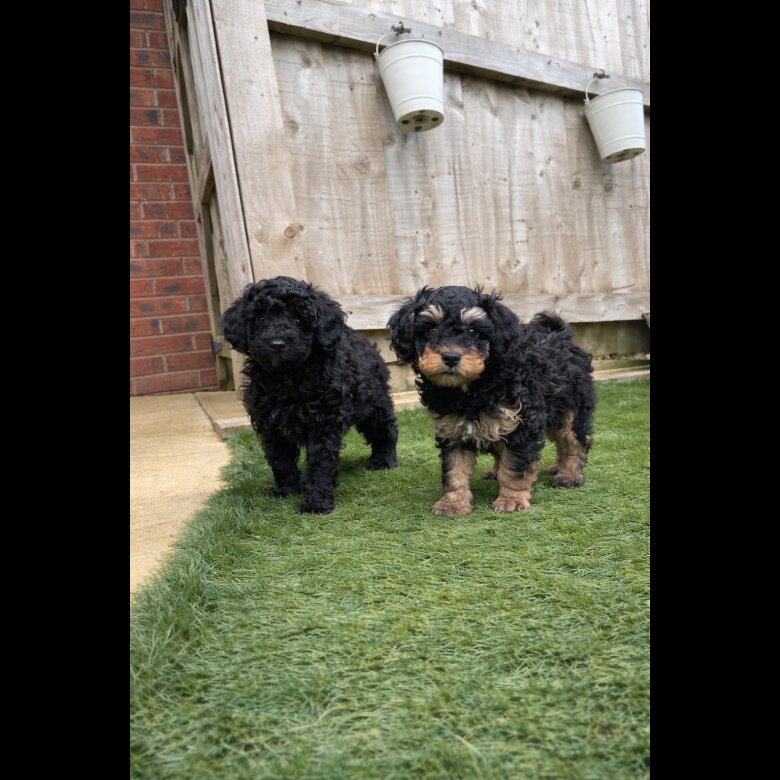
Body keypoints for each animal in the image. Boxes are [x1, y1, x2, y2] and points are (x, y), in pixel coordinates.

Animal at [222, 276, 398, 514]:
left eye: (299, 319)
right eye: (260, 318)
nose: (277, 344)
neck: (287, 378)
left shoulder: (323, 423)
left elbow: (320, 463)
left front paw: (316, 503)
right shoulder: (270, 424)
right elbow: (280, 459)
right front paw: (286, 489)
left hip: (373, 404)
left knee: (386, 431)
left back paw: (384, 461)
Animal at [388, 285, 595, 515]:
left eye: (472, 331)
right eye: (431, 330)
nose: (451, 357)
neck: (471, 388)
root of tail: (560, 334)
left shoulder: (521, 423)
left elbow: (515, 466)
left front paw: (512, 500)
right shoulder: (452, 430)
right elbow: (454, 469)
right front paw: (453, 503)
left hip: (573, 408)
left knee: (575, 441)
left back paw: (569, 475)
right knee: (556, 441)